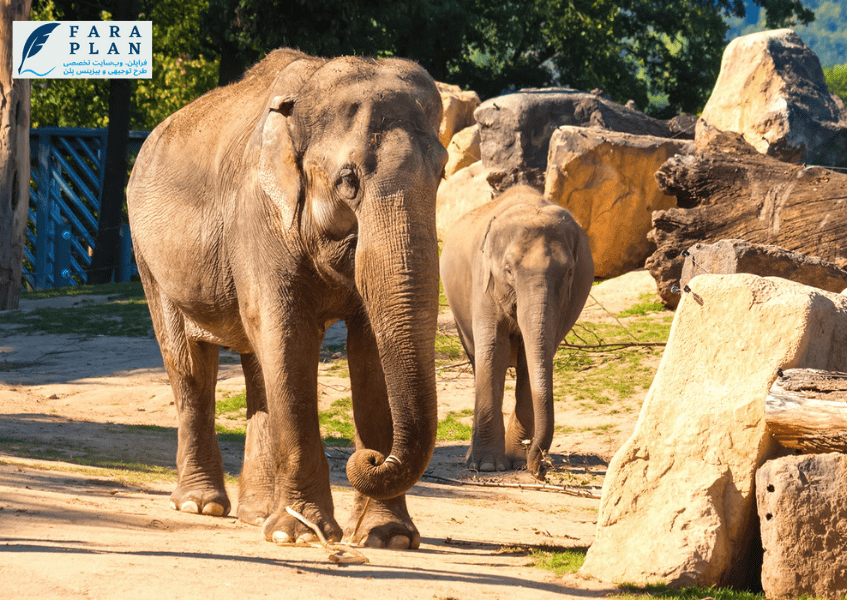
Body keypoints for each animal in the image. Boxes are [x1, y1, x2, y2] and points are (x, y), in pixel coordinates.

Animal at [129, 49, 448, 552]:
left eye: (442, 173)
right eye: (348, 180)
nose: (371, 459)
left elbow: (369, 350)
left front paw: (388, 538)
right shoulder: (258, 216)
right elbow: (287, 335)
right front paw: (297, 535)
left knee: (257, 365)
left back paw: (255, 514)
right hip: (149, 259)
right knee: (189, 364)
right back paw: (202, 506)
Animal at [440, 185, 592, 480]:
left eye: (569, 272)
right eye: (508, 270)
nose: (540, 470)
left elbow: (529, 360)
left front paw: (518, 461)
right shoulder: (483, 283)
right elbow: (493, 351)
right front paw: (488, 466)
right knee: (476, 358)